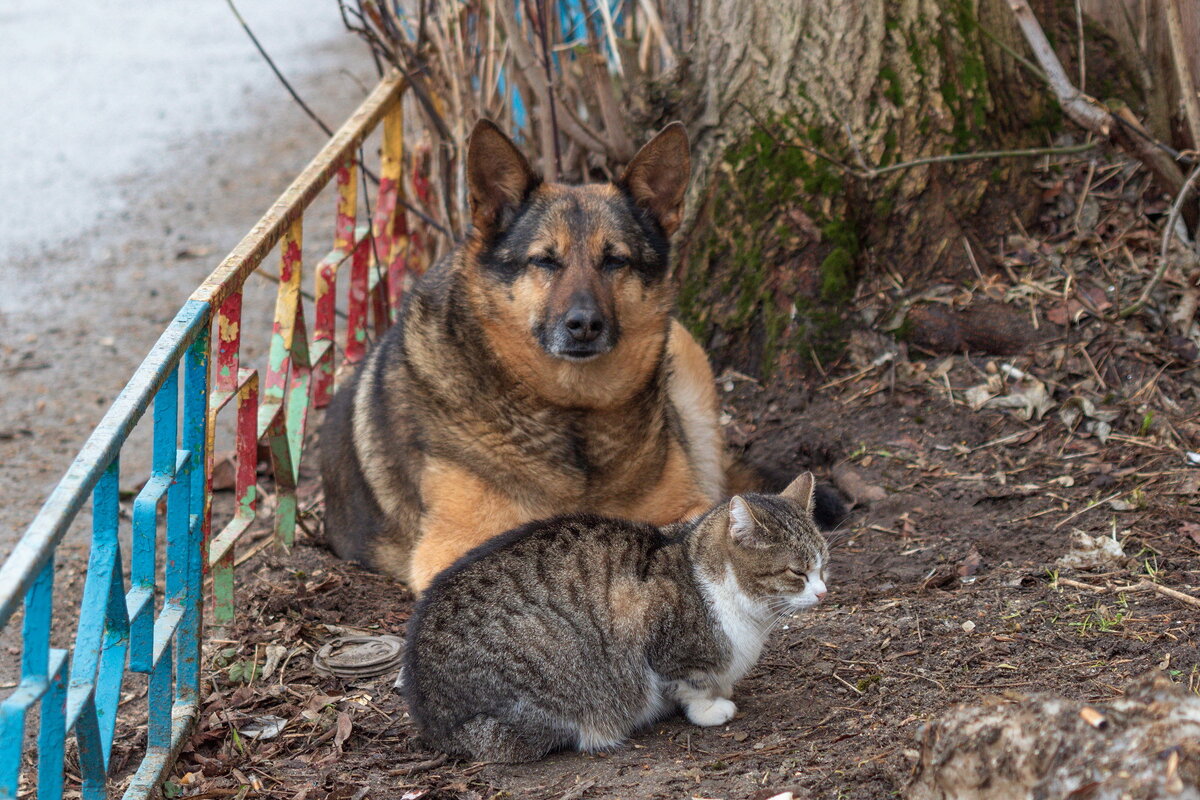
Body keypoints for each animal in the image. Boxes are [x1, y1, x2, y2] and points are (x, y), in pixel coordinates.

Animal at [319, 120, 724, 594]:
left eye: (615, 261)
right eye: (544, 261)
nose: (585, 324)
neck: (572, 415)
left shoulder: (690, 505)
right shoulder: (451, 546)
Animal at [400, 474, 825, 762]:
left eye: (823, 566)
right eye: (797, 572)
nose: (823, 592)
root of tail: (426, 711)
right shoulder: (650, 626)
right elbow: (690, 683)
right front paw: (710, 708)